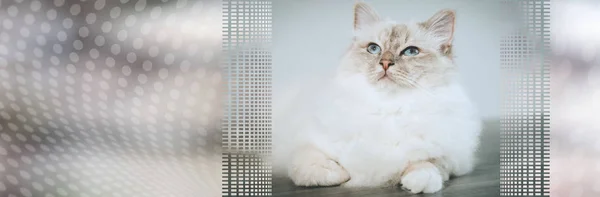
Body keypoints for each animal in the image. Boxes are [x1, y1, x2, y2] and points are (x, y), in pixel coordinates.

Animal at [274, 1, 482, 194]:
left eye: (411, 51)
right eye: (374, 48)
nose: (385, 63)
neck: (388, 107)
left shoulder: (451, 157)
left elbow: (428, 164)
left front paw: (418, 182)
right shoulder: (308, 142)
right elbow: (309, 167)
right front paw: (342, 175)